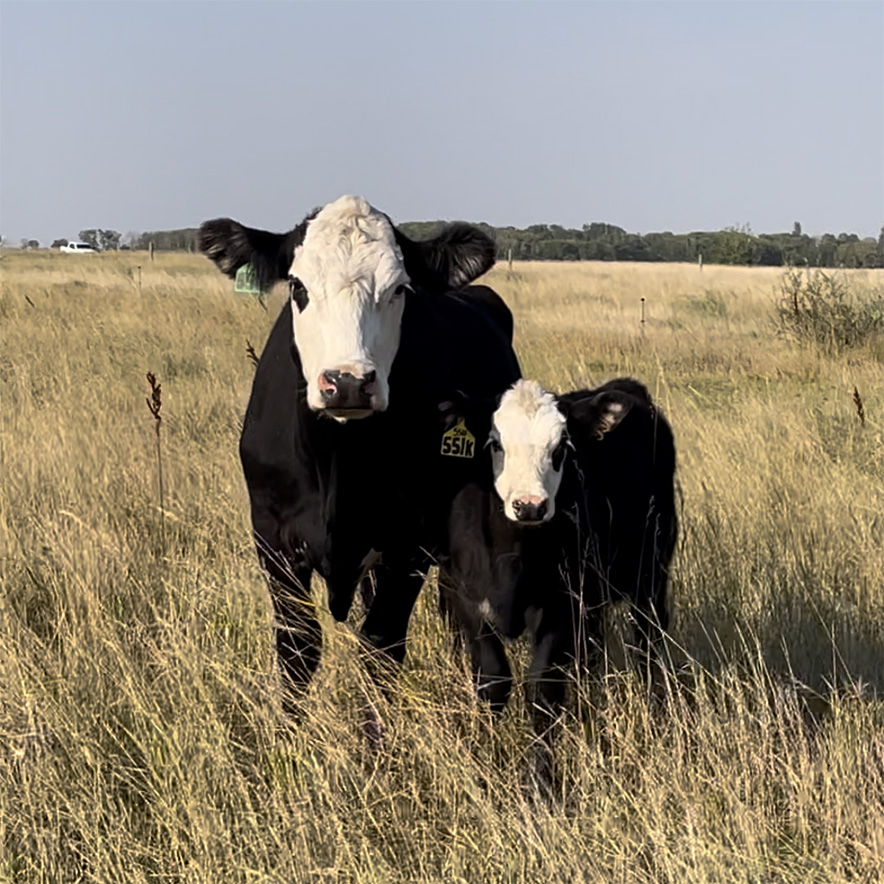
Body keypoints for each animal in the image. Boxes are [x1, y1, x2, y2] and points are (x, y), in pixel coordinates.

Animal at [197, 195, 520, 712]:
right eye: (297, 286)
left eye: (400, 289)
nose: (347, 381)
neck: (338, 463)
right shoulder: (271, 537)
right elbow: (297, 647)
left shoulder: (408, 544)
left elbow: (381, 650)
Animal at [440, 374, 676, 740]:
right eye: (495, 444)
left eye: (561, 448)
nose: (530, 506)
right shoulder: (467, 599)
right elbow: (493, 682)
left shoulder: (563, 604)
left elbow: (543, 689)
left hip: (649, 577)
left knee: (647, 641)